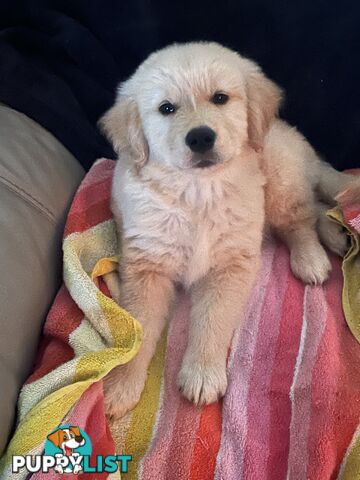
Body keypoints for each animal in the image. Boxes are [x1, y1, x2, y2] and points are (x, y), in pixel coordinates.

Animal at [99, 41, 358, 418]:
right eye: (166, 109)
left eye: (220, 98)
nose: (201, 137)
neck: (197, 192)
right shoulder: (147, 267)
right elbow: (138, 329)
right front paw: (121, 386)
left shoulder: (231, 263)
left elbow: (212, 321)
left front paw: (202, 374)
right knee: (318, 207)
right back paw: (335, 235)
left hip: (279, 177)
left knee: (301, 218)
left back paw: (311, 259)